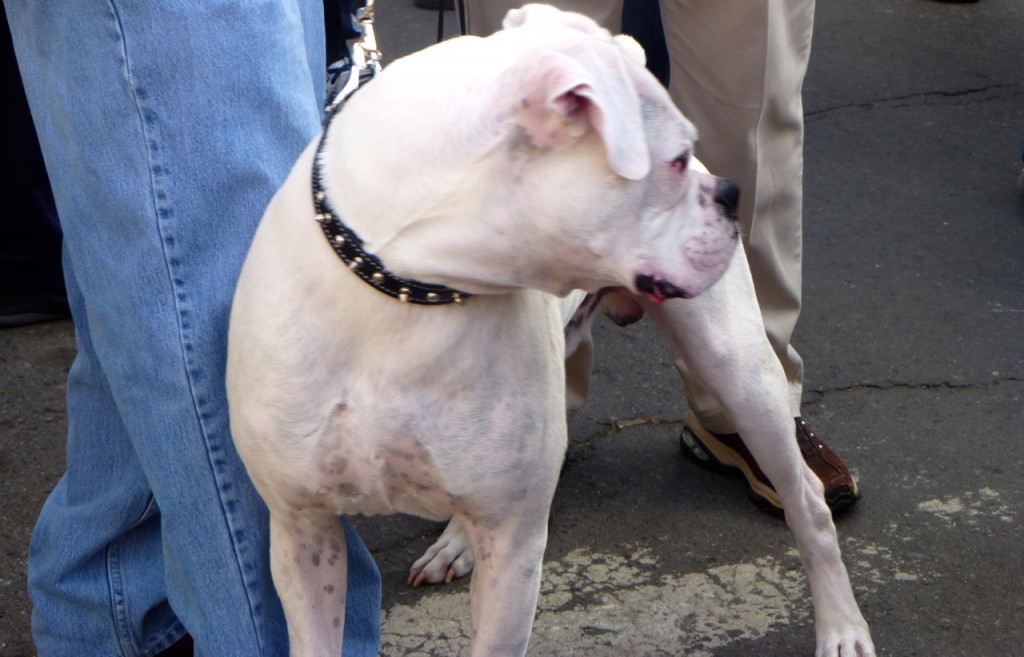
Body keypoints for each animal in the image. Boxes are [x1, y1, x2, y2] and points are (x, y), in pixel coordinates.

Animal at [228, 5, 876, 654]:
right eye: (673, 161)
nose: (730, 196)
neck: (404, 294)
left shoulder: (515, 555)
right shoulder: (302, 530)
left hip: (738, 372)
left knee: (807, 503)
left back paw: (842, 627)